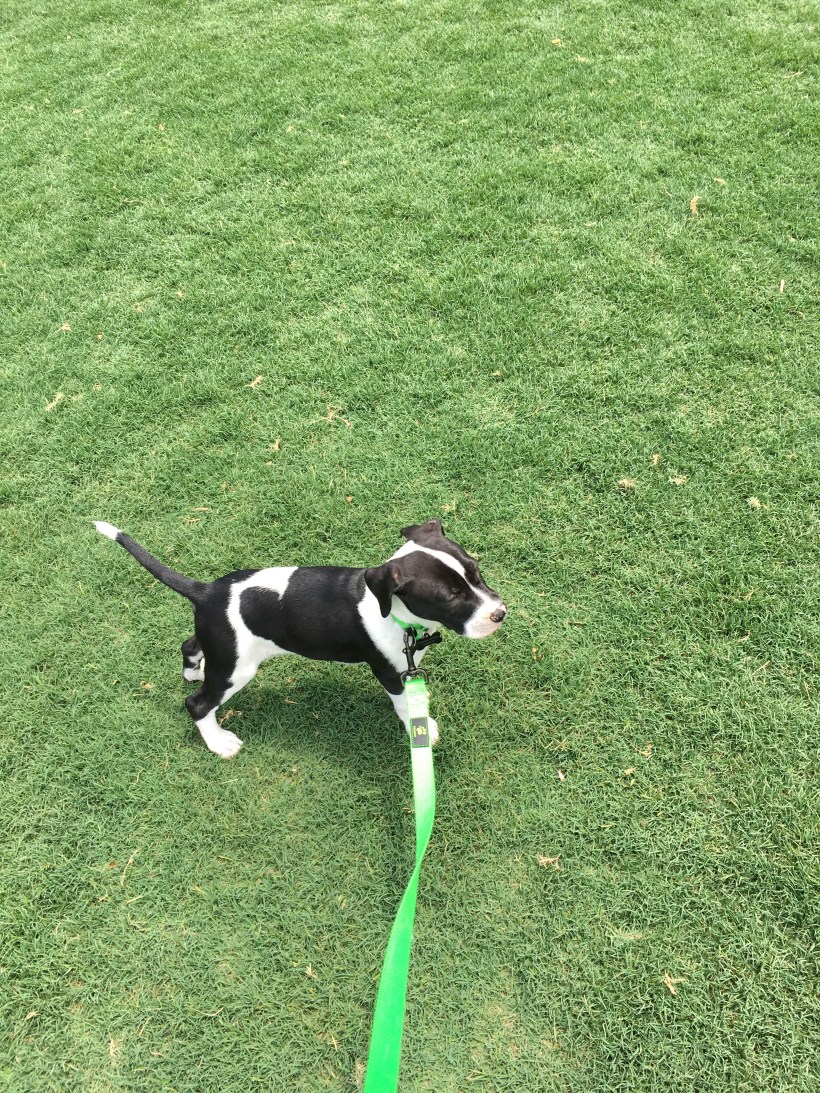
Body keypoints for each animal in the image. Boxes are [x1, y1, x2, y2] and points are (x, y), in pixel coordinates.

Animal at [94, 518, 506, 758]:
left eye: (476, 570)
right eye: (449, 597)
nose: (499, 613)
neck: (399, 614)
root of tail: (207, 592)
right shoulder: (391, 672)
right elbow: (405, 705)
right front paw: (420, 728)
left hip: (221, 644)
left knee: (191, 646)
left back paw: (195, 670)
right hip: (236, 670)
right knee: (197, 704)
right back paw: (218, 742)